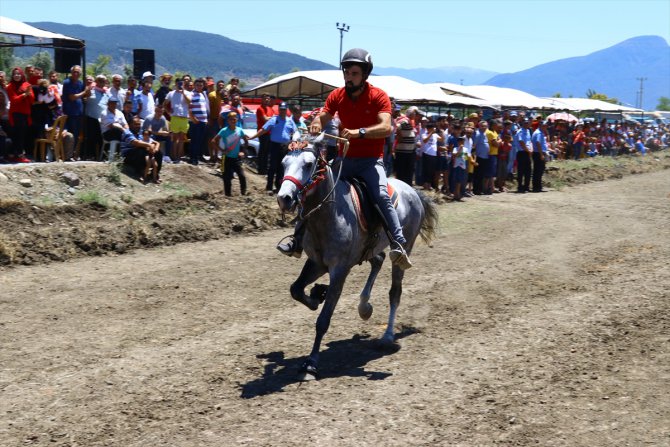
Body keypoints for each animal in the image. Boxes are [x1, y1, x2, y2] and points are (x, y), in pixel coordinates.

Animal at [276, 138, 438, 380]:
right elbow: (296, 289)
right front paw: (316, 295)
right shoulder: (316, 263)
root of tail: (413, 191)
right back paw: (364, 306)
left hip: (404, 250)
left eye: (308, 164)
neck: (330, 215)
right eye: (284, 163)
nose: (284, 198)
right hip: (370, 249)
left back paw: (387, 336)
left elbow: (323, 320)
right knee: (378, 260)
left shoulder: (339, 270)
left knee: (395, 291)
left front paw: (311, 363)